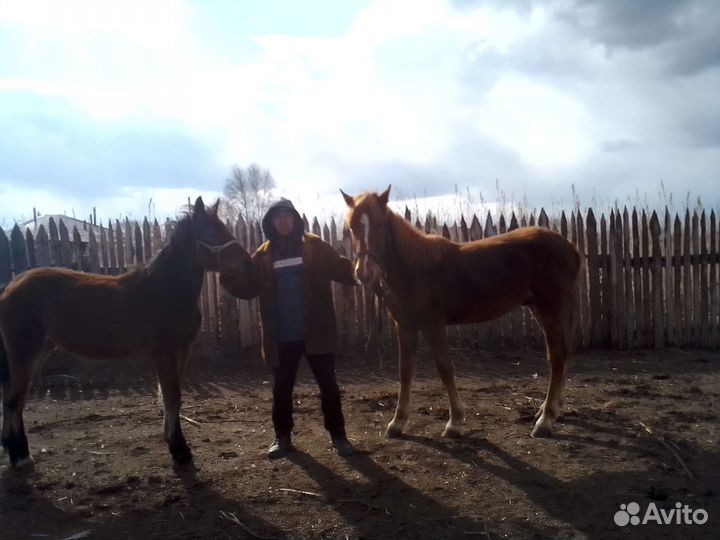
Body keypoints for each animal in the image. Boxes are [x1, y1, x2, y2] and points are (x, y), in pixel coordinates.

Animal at [0, 197, 252, 467]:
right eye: (212, 233)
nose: (248, 263)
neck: (166, 289)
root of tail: (10, 286)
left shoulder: (182, 350)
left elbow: (171, 395)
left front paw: (174, 443)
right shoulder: (162, 350)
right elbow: (171, 395)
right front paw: (179, 450)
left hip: (40, 351)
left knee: (14, 398)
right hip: (25, 351)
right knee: (14, 400)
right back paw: (20, 456)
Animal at [341, 186, 582, 439]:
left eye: (379, 224)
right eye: (351, 226)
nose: (364, 272)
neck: (414, 268)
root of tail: (571, 248)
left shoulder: (433, 324)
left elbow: (445, 368)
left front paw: (454, 422)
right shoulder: (405, 325)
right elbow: (405, 371)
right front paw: (397, 423)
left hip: (550, 307)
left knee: (556, 356)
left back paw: (545, 420)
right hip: (539, 307)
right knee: (563, 353)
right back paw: (549, 409)